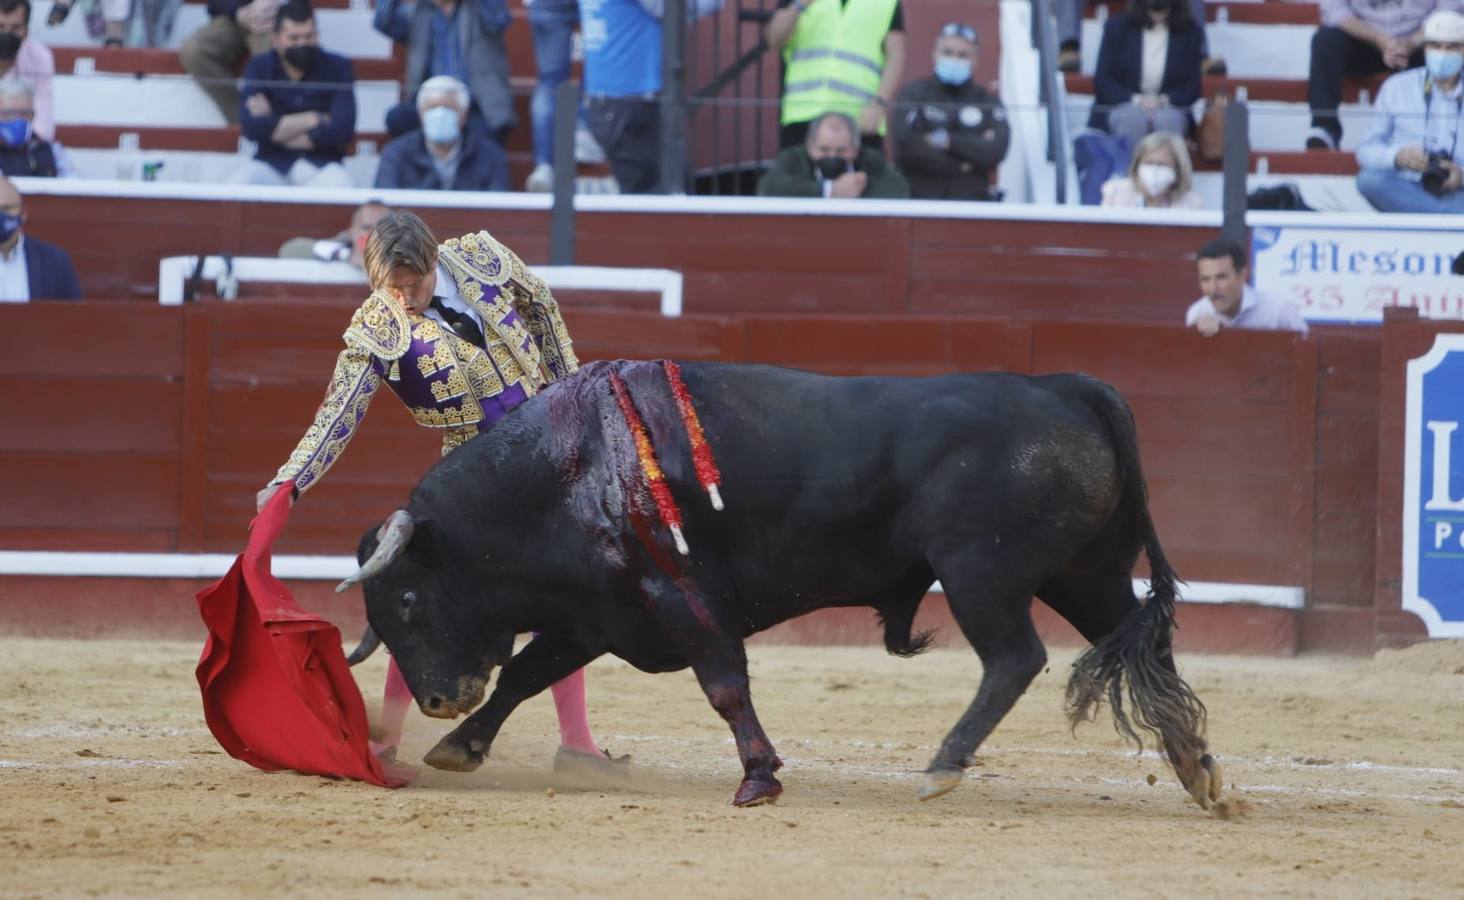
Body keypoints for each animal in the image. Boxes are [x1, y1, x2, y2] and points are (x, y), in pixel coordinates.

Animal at [336, 362, 1218, 813]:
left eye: (408, 600)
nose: (436, 699)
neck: (569, 470)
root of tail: (1067, 386)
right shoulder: (593, 615)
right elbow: (525, 672)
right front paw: (459, 746)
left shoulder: (680, 597)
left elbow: (726, 685)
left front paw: (758, 777)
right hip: (1087, 573)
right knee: (1145, 651)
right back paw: (1199, 772)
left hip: (982, 574)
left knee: (1014, 659)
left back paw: (943, 765)